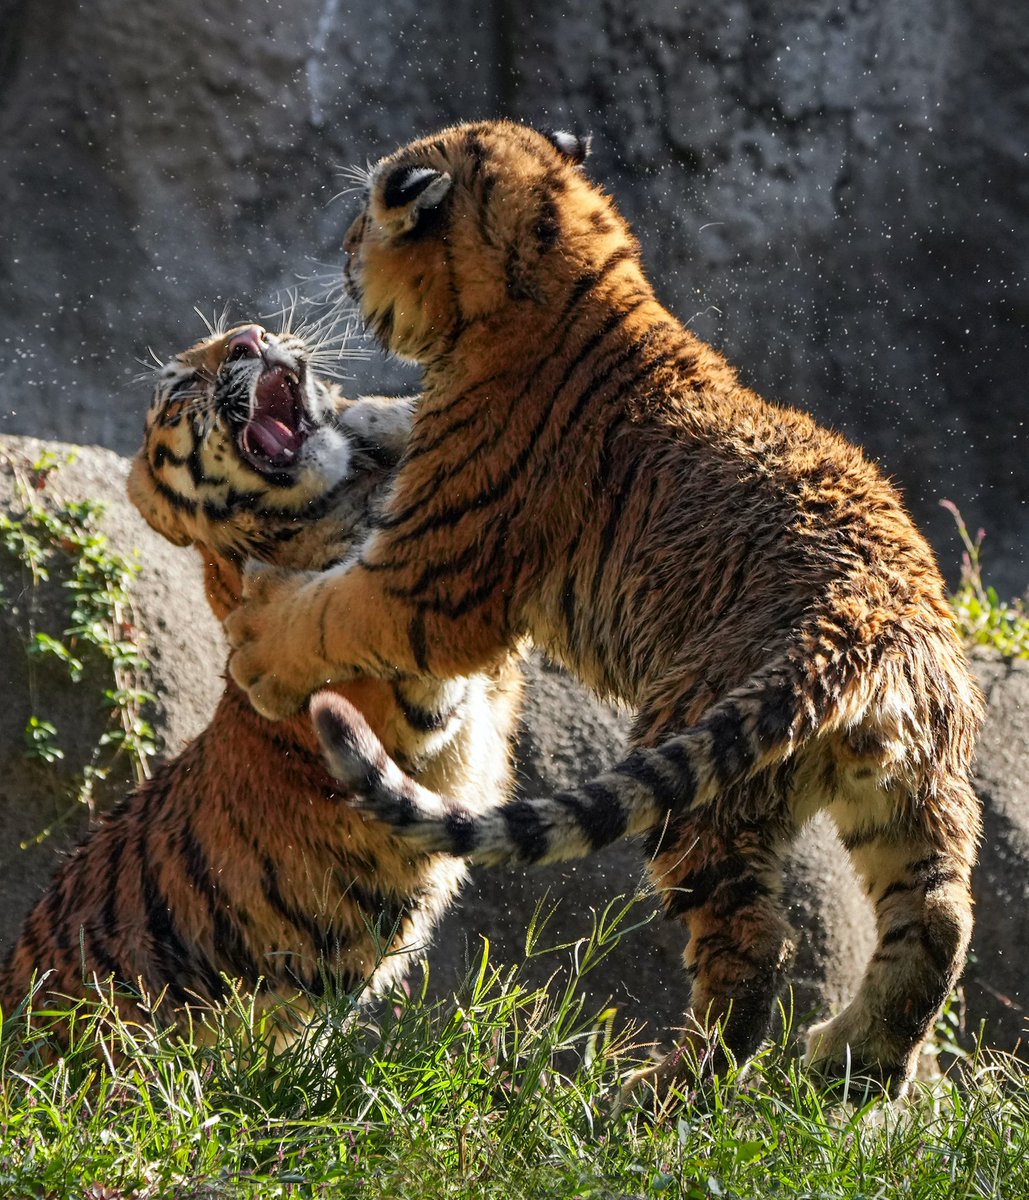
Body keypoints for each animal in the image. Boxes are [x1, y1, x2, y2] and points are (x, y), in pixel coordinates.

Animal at [224, 121, 984, 1106]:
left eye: (362, 221)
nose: (346, 254)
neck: (568, 269)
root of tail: (869, 625)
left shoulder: (431, 581)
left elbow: (329, 614)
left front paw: (257, 645)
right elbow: (394, 425)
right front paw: (357, 415)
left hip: (702, 779)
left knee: (752, 948)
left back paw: (658, 1096)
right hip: (911, 789)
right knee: (937, 916)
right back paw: (853, 1067)